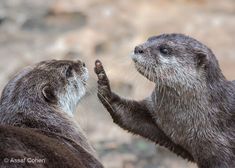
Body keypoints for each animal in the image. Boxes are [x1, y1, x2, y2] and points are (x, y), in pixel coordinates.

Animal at [94, 33, 235, 168]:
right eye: (149, 38)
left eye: (165, 50)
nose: (138, 48)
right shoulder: (157, 116)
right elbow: (129, 117)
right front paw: (103, 84)